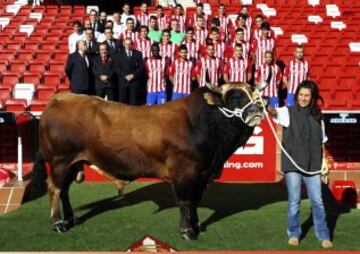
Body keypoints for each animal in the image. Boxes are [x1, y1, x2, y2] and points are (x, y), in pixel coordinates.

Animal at [32, 83, 266, 240]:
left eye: (255, 96)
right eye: (234, 97)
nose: (257, 110)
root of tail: (62, 98)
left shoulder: (202, 174)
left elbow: (195, 201)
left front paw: (197, 225)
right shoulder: (184, 172)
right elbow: (185, 202)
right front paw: (187, 231)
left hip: (73, 163)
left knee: (64, 191)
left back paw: (70, 218)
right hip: (60, 161)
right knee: (54, 188)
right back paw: (57, 223)